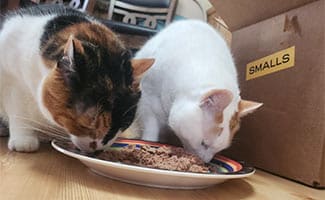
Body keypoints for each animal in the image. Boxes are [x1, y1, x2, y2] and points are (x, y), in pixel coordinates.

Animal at [0, 4, 153, 152]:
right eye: (91, 121)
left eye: (125, 122)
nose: (98, 148)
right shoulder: (12, 79)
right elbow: (19, 112)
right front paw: (23, 141)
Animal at [128, 19, 262, 162]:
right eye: (204, 143)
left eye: (220, 150)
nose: (206, 162)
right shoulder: (147, 97)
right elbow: (151, 126)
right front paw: (149, 142)